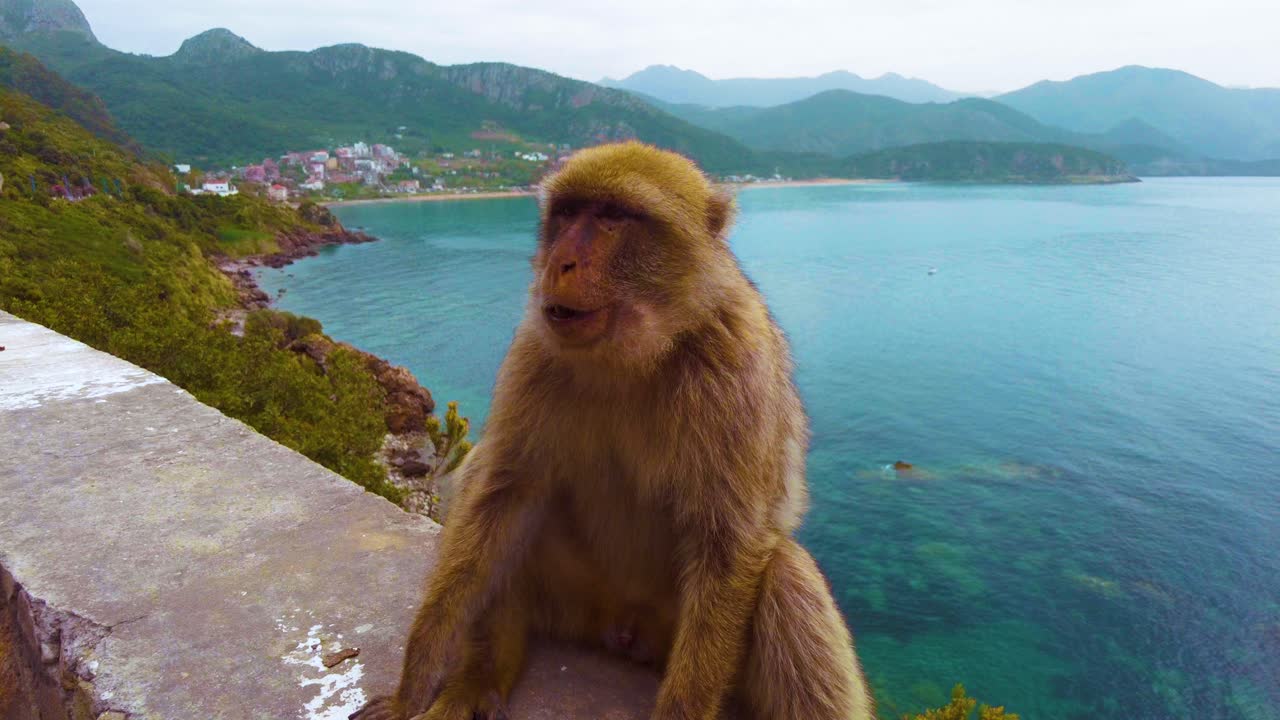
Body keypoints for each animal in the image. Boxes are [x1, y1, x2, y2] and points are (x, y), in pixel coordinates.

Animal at [352, 141, 874, 720]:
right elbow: (504, 496)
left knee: (785, 572)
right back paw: (481, 677)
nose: (560, 263)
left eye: (611, 218)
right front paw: (414, 683)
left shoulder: (738, 364)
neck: (634, 354)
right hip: (572, 597)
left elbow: (730, 542)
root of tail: (620, 627)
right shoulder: (535, 348)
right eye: (566, 214)